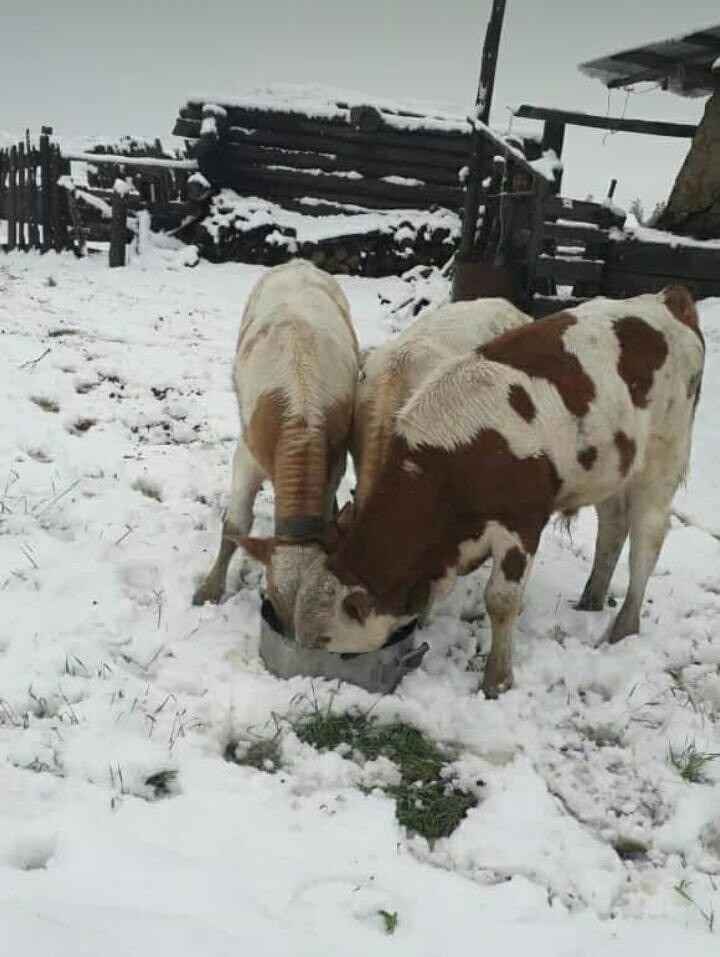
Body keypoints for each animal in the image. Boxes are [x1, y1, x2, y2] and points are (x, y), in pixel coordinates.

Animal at [193, 258, 358, 628]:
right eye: (274, 603)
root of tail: (299, 263)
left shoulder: (335, 462)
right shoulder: (246, 457)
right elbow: (234, 526)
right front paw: (210, 588)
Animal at [292, 284, 704, 696]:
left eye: (330, 645)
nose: (311, 670)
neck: (452, 459)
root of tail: (667, 299)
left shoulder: (522, 522)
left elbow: (501, 600)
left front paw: (497, 678)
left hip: (664, 459)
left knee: (647, 540)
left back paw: (623, 627)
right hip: (612, 467)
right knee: (613, 527)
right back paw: (591, 599)